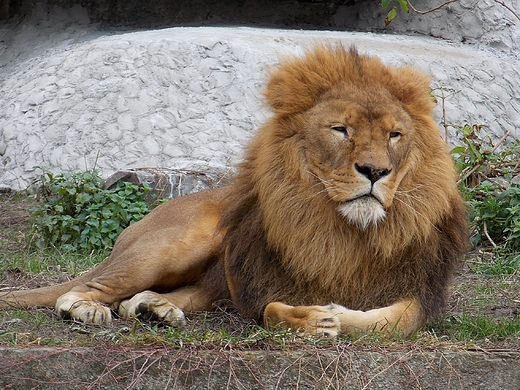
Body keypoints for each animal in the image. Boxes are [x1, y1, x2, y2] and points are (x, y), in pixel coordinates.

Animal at [0, 45, 470, 338]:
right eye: (341, 130)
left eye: (394, 135)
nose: (375, 171)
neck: (349, 231)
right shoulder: (265, 285)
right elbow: (272, 310)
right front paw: (313, 319)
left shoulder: (421, 292)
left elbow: (392, 320)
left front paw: (334, 316)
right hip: (176, 243)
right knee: (88, 288)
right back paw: (88, 309)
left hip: (208, 281)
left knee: (148, 298)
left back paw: (155, 310)